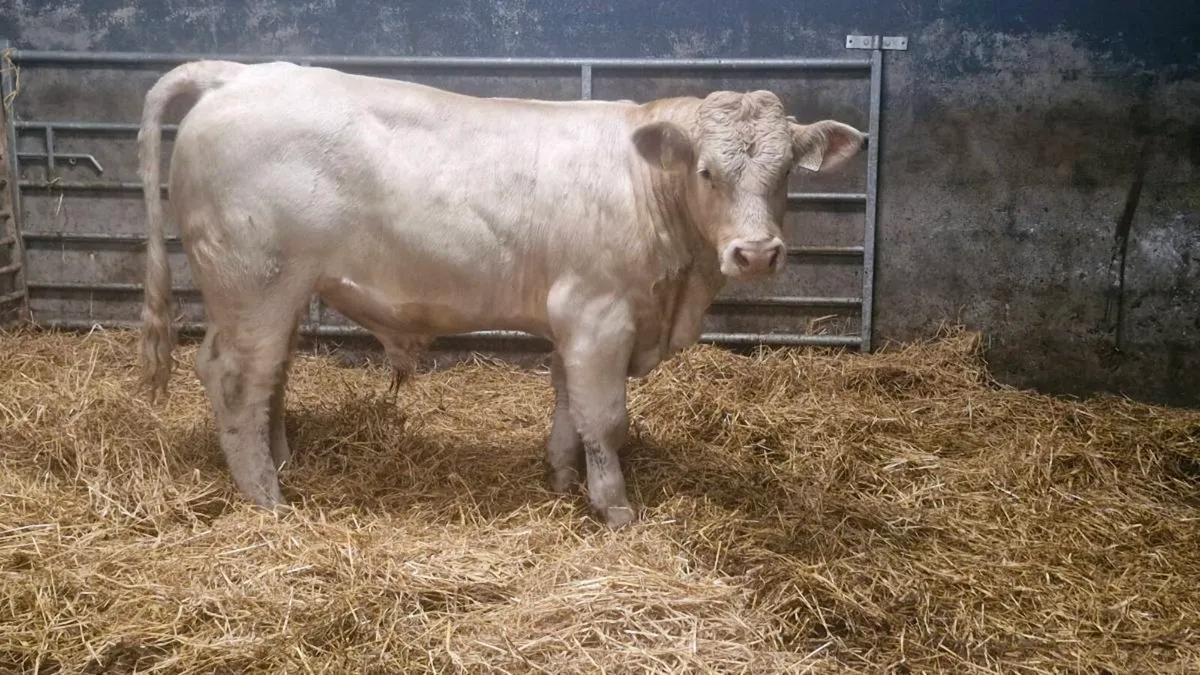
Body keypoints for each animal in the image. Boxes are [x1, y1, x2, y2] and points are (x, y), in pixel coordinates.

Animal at [136, 59, 866, 529]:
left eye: (785, 173)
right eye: (708, 172)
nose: (756, 253)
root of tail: (239, 73)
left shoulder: (575, 325)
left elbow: (571, 404)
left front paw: (564, 478)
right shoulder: (598, 314)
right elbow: (607, 418)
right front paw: (616, 508)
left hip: (268, 292)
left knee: (262, 375)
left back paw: (283, 463)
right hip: (255, 283)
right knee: (236, 379)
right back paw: (266, 495)